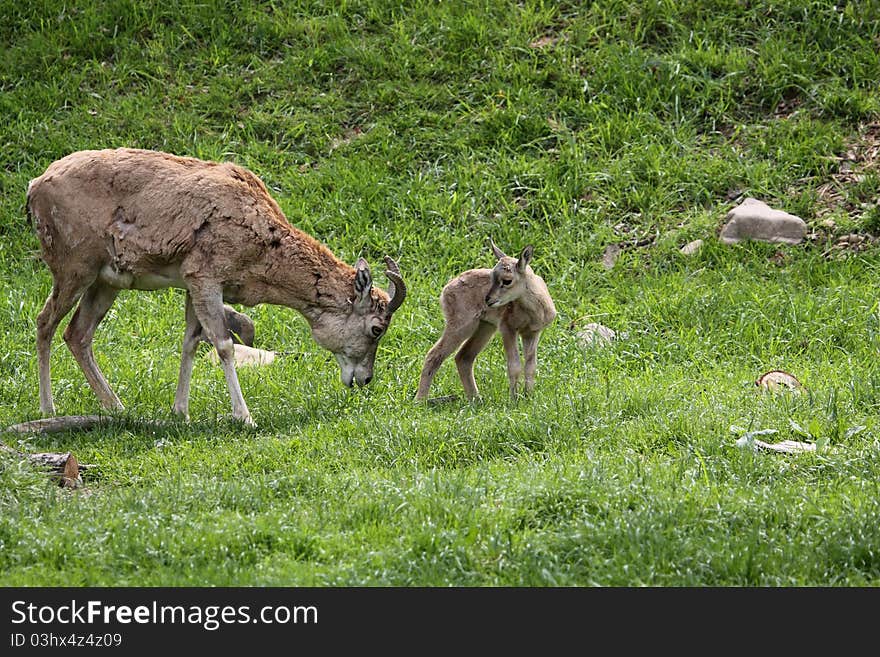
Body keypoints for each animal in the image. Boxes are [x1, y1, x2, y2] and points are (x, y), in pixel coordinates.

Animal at [26, 148, 406, 426]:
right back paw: (48, 409)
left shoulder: (192, 284)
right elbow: (222, 344)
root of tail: (34, 187)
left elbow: (191, 341)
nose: (364, 379)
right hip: (73, 268)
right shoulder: (205, 278)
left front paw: (181, 412)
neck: (262, 247)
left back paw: (117, 407)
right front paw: (245, 417)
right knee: (45, 322)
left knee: (77, 333)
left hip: (106, 281)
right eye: (376, 328)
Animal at [416, 237, 552, 400]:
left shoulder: (532, 333)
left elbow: (530, 367)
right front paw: (514, 399)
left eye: (507, 280)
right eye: (492, 277)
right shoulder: (507, 328)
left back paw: (476, 399)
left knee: (464, 357)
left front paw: (528, 397)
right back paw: (420, 400)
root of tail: (445, 289)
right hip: (461, 325)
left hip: (485, 327)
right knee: (434, 355)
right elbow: (514, 366)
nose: (488, 299)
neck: (534, 311)